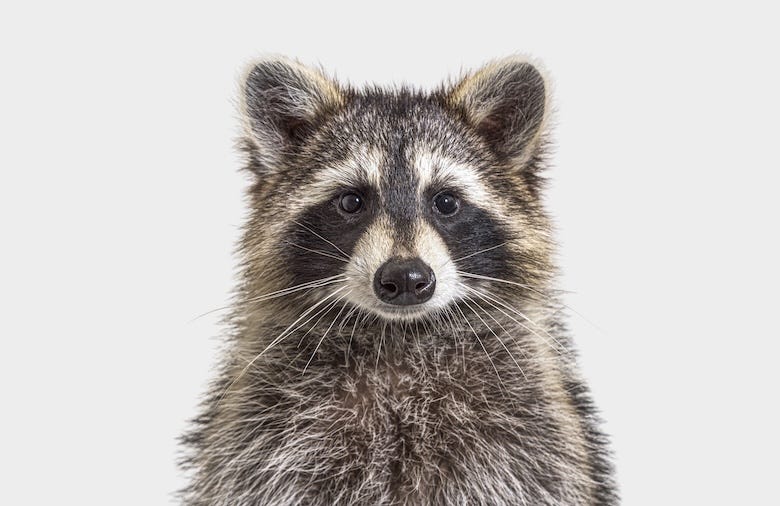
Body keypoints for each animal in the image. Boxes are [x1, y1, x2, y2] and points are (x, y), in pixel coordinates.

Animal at [181, 55, 617, 505]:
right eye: (351, 201)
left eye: (446, 202)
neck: (399, 335)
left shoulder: (528, 438)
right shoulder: (261, 435)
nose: (406, 277)